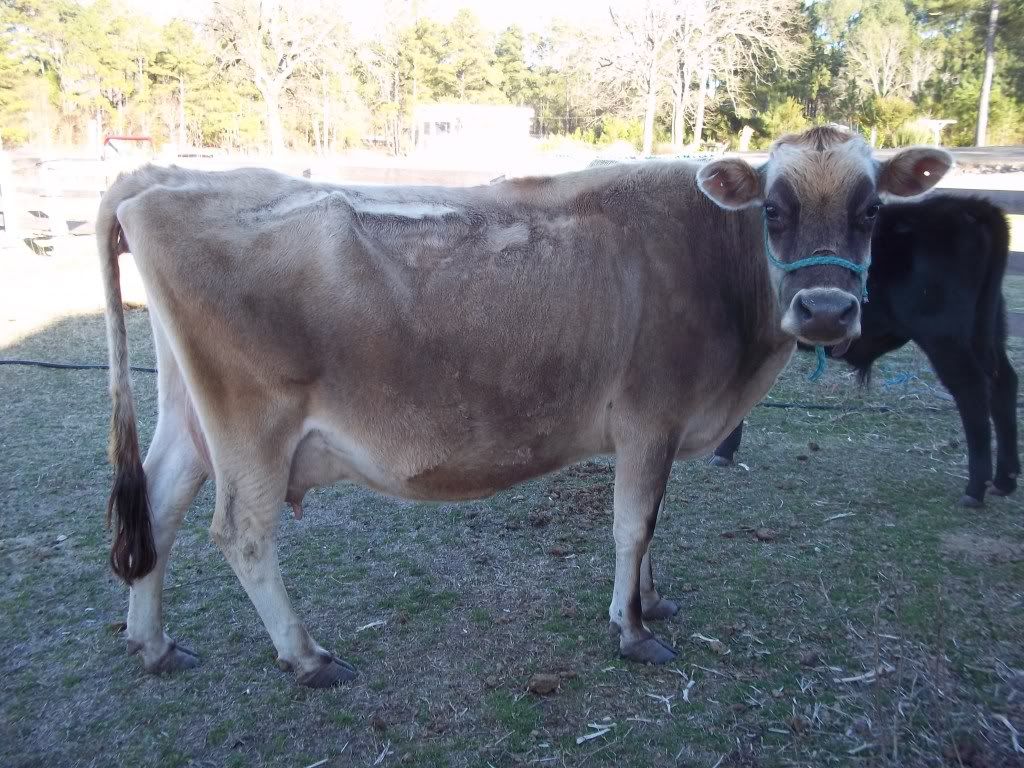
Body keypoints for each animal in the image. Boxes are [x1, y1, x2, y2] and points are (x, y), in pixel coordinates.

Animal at [98, 126, 951, 686]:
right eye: (773, 209)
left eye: (873, 210)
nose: (826, 310)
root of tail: (158, 179)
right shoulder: (649, 417)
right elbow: (633, 524)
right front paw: (631, 628)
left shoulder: (664, 428)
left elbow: (653, 523)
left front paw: (653, 601)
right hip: (252, 424)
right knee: (240, 533)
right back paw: (306, 657)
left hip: (191, 416)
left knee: (161, 503)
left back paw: (152, 645)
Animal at [711, 195, 1019, 507]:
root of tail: (969, 206)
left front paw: (722, 450)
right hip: (988, 327)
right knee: (1003, 383)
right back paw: (1004, 480)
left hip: (945, 337)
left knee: (973, 393)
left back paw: (975, 488)